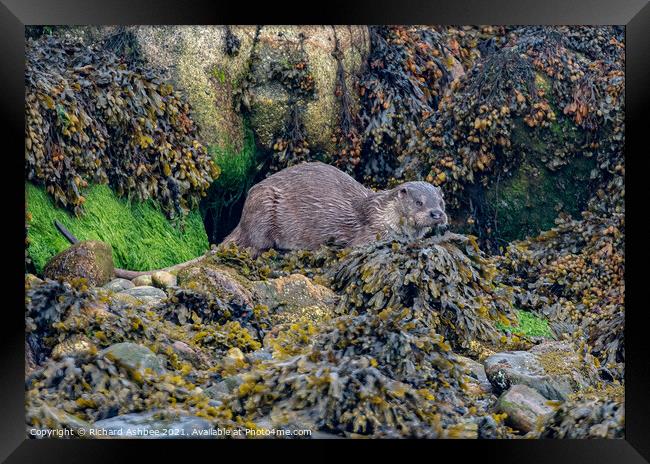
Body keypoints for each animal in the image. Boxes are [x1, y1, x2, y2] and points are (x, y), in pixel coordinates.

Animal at [223, 162, 446, 258]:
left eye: (441, 202)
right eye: (419, 202)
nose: (437, 214)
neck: (382, 215)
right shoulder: (369, 235)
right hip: (263, 203)